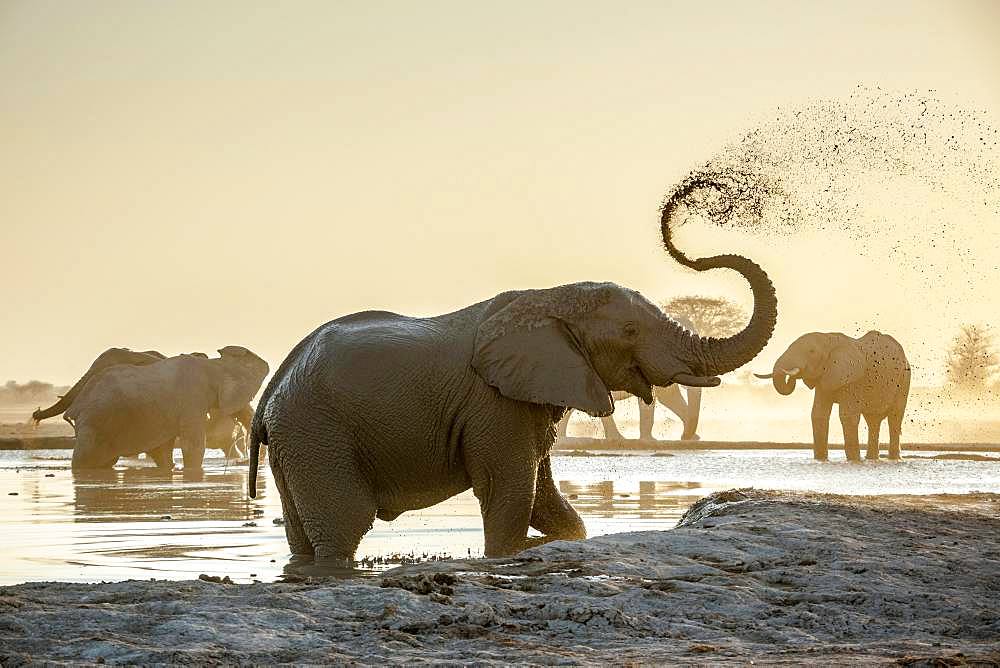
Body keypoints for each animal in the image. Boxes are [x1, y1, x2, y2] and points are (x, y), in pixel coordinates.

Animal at [752, 330, 912, 464]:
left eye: (811, 351)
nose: (792, 375)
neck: (828, 339)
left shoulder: (853, 379)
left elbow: (847, 415)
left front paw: (854, 461)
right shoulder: (824, 378)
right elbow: (818, 414)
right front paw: (821, 460)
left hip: (904, 380)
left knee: (894, 418)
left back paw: (894, 459)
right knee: (873, 421)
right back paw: (872, 459)